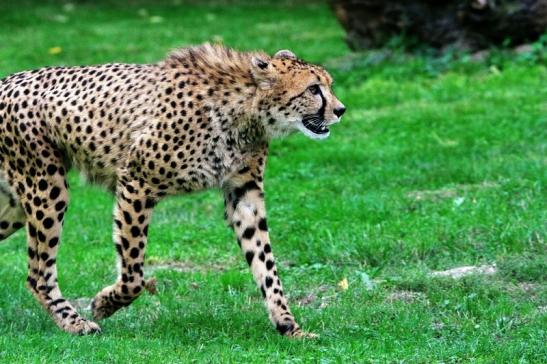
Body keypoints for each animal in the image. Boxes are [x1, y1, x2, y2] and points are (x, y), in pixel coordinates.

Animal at [0, 44, 346, 336]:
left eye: (327, 85)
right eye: (314, 89)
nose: (341, 109)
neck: (247, 106)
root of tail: (8, 79)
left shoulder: (244, 194)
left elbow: (265, 262)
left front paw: (289, 326)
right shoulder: (136, 181)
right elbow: (134, 273)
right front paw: (103, 303)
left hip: (17, 202)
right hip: (47, 186)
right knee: (39, 273)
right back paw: (74, 323)